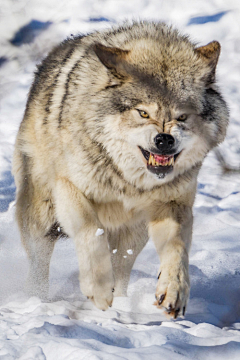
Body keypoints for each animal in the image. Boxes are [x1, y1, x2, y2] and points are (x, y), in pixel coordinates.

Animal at [11, 20, 229, 318]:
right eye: (143, 113)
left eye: (182, 116)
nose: (164, 140)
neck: (127, 179)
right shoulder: (69, 188)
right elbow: (91, 232)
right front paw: (99, 290)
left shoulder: (173, 205)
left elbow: (177, 251)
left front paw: (174, 291)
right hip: (42, 215)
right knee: (39, 262)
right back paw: (38, 300)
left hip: (134, 232)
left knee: (122, 266)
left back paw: (123, 303)